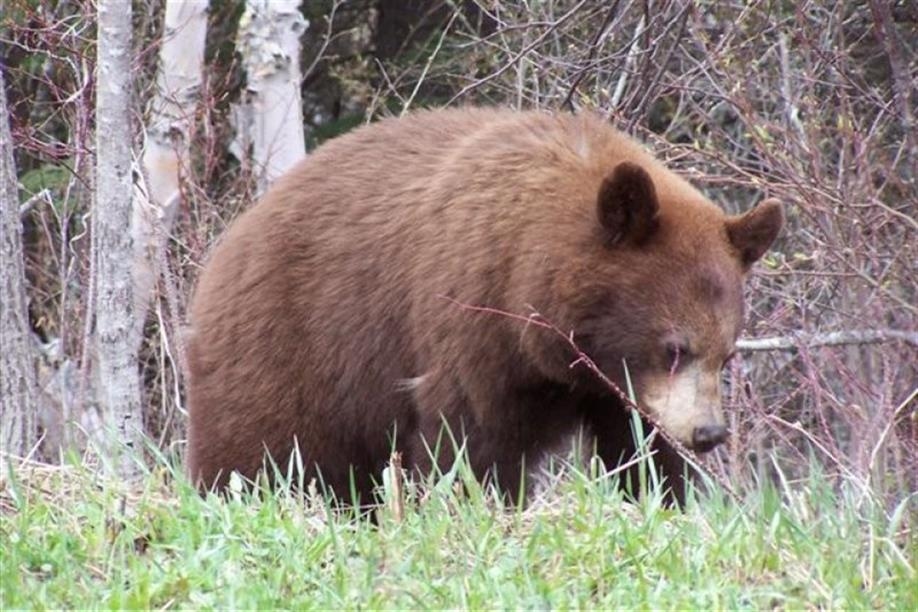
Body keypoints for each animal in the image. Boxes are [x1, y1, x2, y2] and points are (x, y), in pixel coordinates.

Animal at [186, 107, 783, 505]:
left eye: (727, 354)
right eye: (674, 346)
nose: (709, 433)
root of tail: (229, 242)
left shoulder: (618, 386)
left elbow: (640, 444)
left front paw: (661, 496)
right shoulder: (471, 318)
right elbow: (468, 439)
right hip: (288, 348)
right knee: (255, 453)